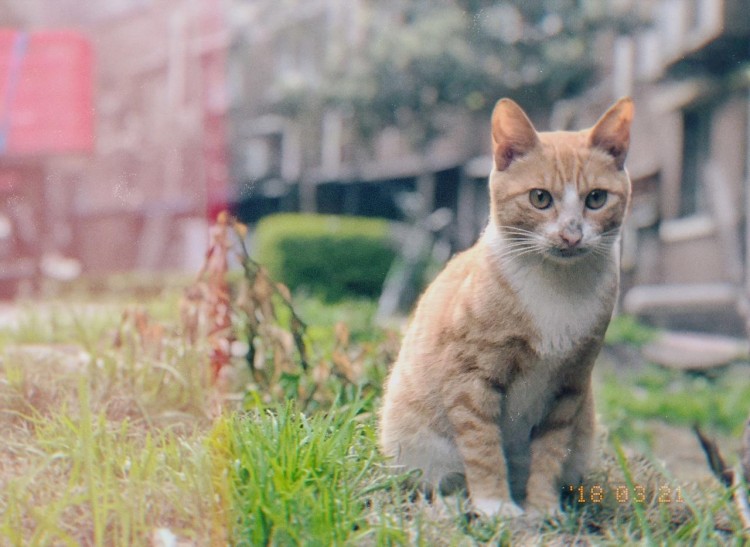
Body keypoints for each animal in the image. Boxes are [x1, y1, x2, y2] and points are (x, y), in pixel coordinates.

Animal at [382, 95, 636, 520]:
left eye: (596, 198)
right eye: (540, 198)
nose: (571, 235)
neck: (557, 291)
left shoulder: (569, 386)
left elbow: (550, 452)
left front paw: (543, 509)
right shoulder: (470, 376)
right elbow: (483, 447)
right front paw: (495, 505)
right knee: (436, 480)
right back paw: (454, 503)